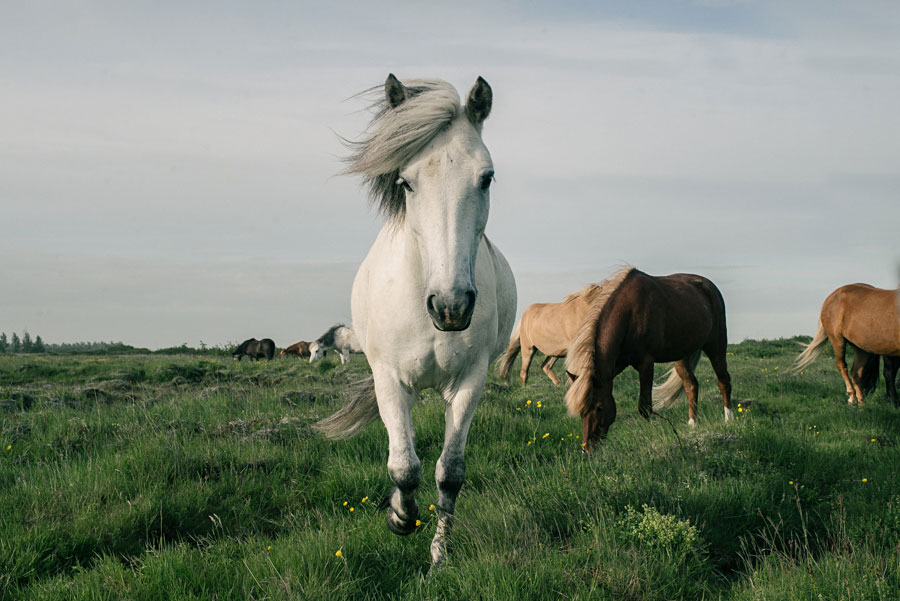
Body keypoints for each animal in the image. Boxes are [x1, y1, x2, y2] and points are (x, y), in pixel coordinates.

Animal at [315, 74, 516, 568]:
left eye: (487, 178)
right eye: (405, 182)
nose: (451, 306)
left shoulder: (470, 381)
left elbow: (449, 473)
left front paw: (439, 554)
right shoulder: (388, 379)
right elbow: (404, 467)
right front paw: (399, 517)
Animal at [564, 267, 733, 451]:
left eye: (599, 408)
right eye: (581, 412)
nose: (588, 449)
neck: (629, 315)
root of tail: (709, 287)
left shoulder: (646, 363)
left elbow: (644, 406)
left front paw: (648, 435)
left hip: (716, 346)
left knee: (723, 381)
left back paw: (728, 419)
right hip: (681, 357)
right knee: (691, 386)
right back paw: (692, 424)